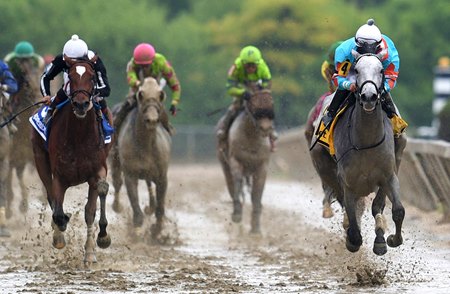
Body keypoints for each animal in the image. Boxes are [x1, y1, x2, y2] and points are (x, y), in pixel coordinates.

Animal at [31, 55, 111, 264]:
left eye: (92, 77)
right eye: (72, 77)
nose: (81, 104)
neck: (79, 137)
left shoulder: (97, 170)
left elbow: (93, 206)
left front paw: (99, 241)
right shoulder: (60, 176)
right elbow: (58, 210)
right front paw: (60, 232)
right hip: (40, 160)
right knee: (50, 196)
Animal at [110, 76, 171, 241]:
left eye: (161, 95)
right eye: (141, 95)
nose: (152, 120)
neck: (145, 145)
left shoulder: (162, 176)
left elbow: (160, 208)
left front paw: (156, 230)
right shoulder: (131, 174)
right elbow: (136, 208)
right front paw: (136, 232)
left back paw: (150, 207)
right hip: (114, 160)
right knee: (117, 183)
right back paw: (117, 206)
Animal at [312, 51, 406, 254]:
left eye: (381, 70)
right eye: (356, 70)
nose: (369, 96)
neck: (366, 142)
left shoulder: (388, 175)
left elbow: (397, 210)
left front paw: (392, 239)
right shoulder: (348, 182)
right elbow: (352, 220)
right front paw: (352, 239)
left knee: (376, 206)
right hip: (322, 163)